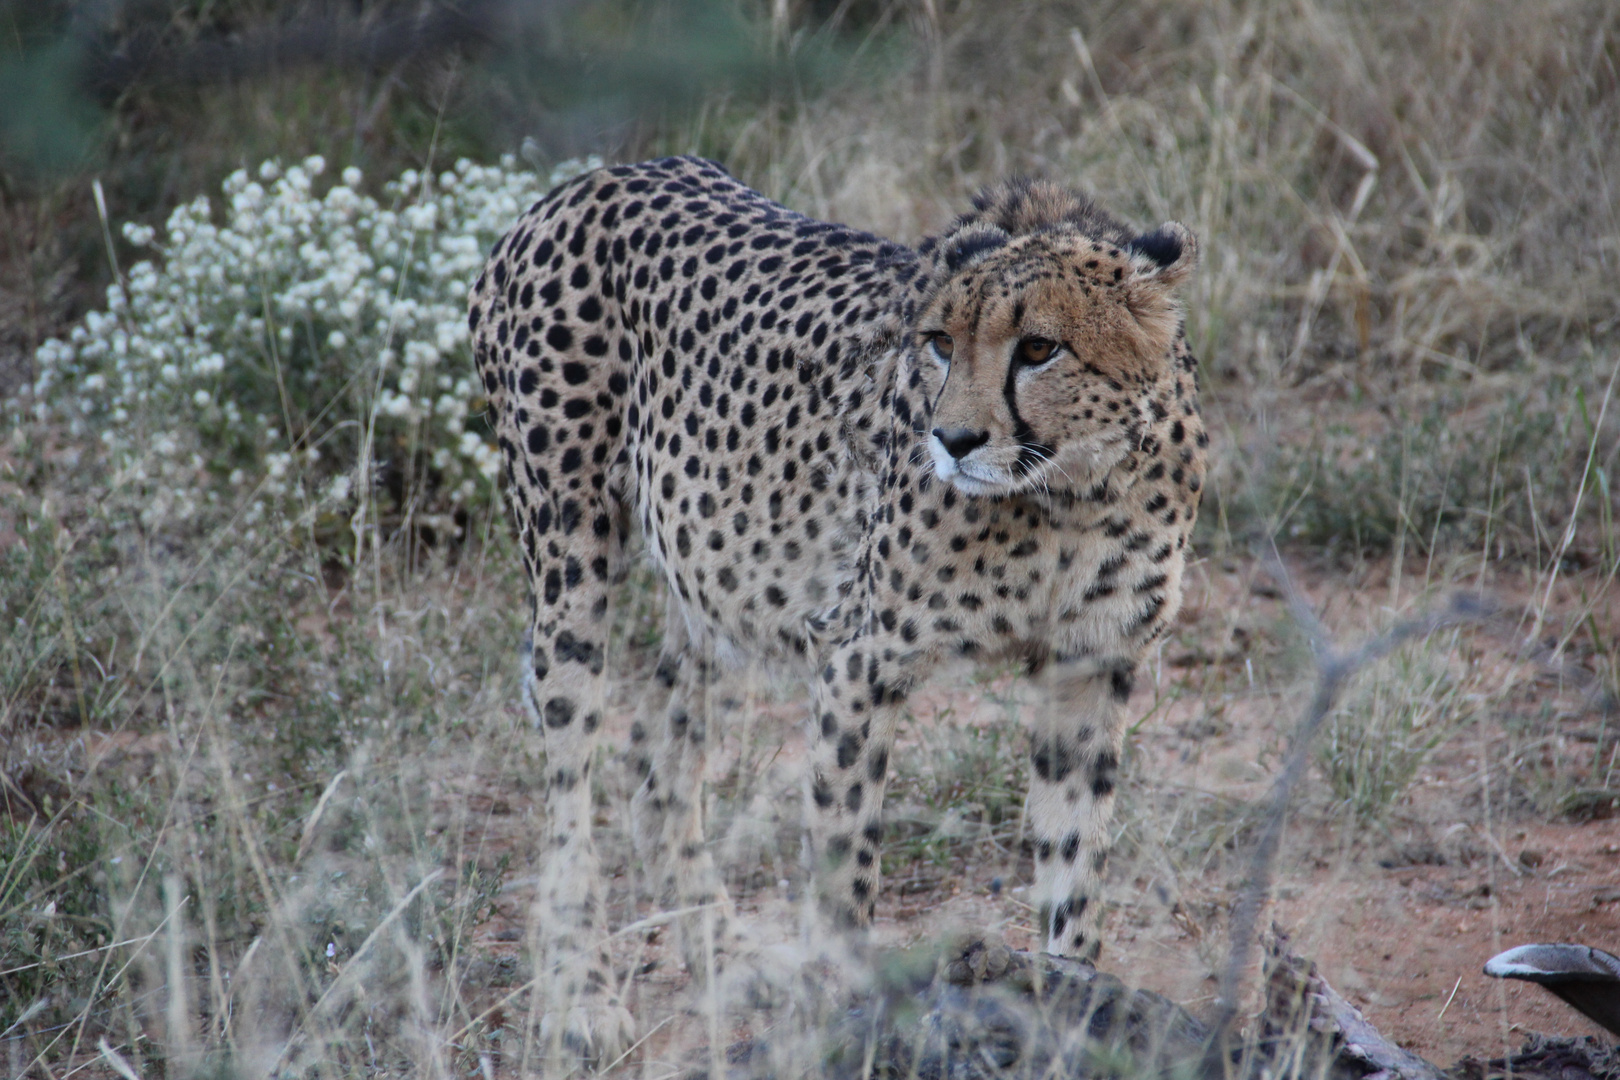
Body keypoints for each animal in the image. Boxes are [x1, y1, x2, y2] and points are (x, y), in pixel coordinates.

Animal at [469, 156, 1205, 1062]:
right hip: (571, 553)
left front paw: (1071, 1006)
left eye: (1039, 348)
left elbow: (1074, 868)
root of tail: (588, 183)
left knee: (653, 760)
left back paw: (722, 948)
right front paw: (848, 1021)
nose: (951, 441)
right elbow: (846, 874)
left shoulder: (1091, 667)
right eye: (939, 343)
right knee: (572, 777)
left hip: (720, 577)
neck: (1072, 490)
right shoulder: (861, 659)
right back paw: (583, 998)